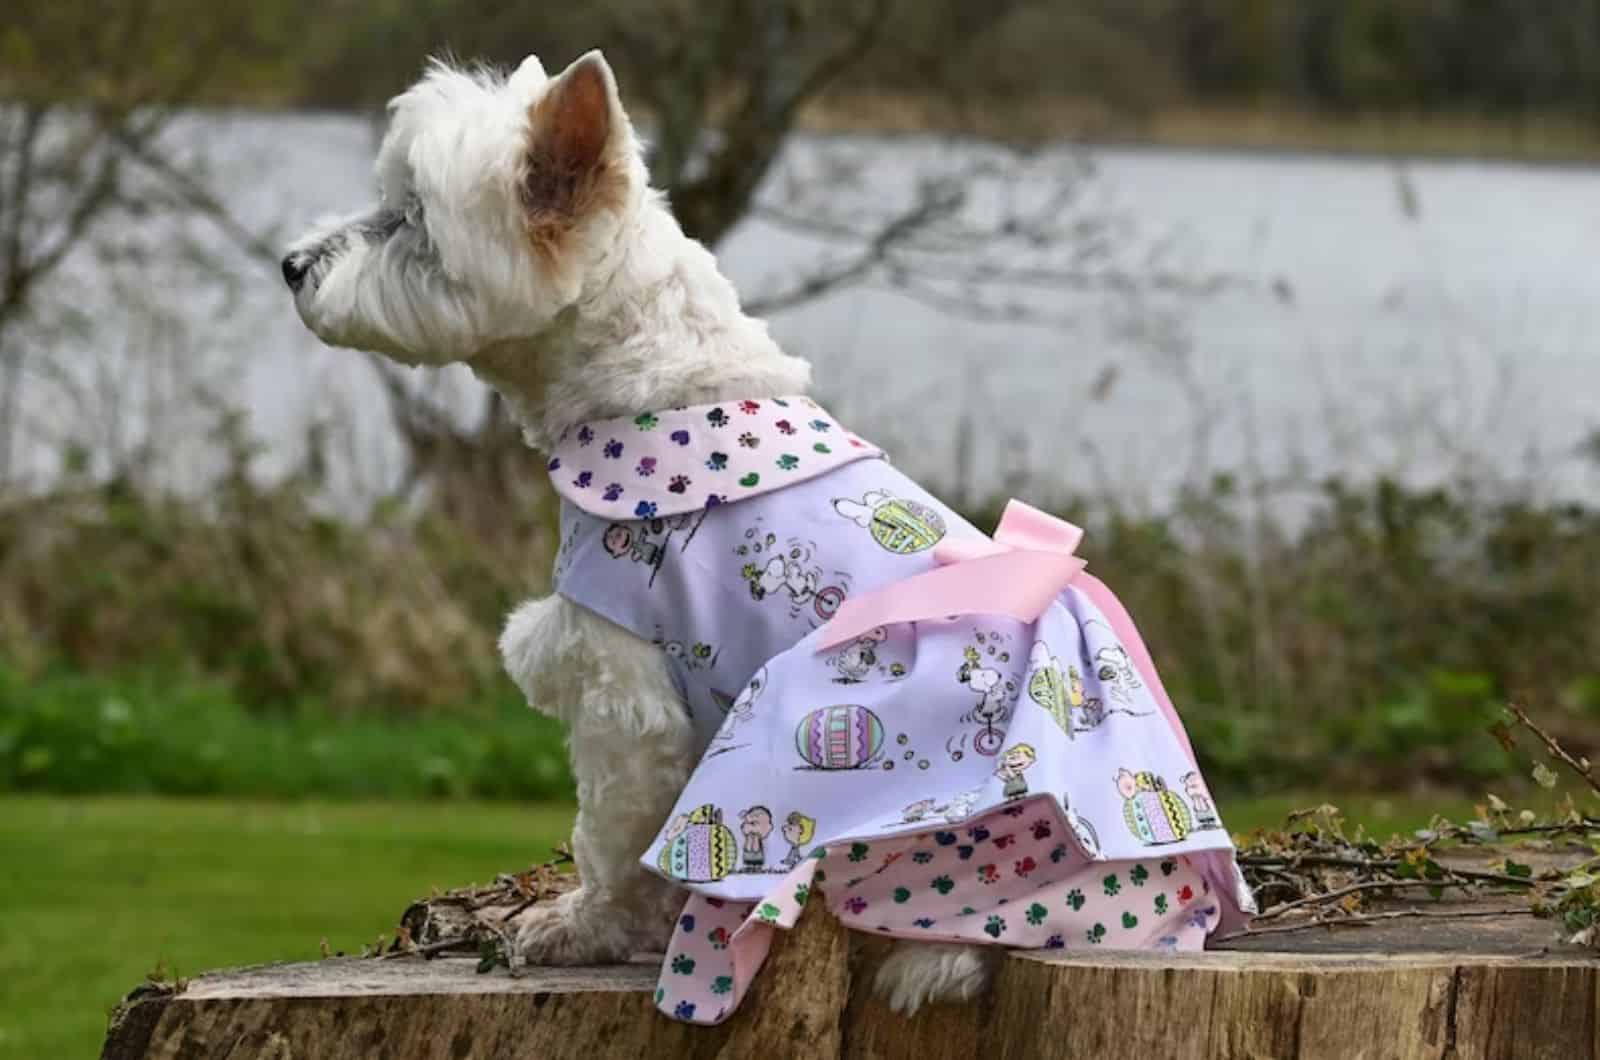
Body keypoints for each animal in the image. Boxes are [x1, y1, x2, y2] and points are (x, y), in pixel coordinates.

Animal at [286, 54, 985, 1018]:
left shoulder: (624, 690)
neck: (654, 395)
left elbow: (610, 833)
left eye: (413, 219)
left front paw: (580, 928)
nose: (289, 265)